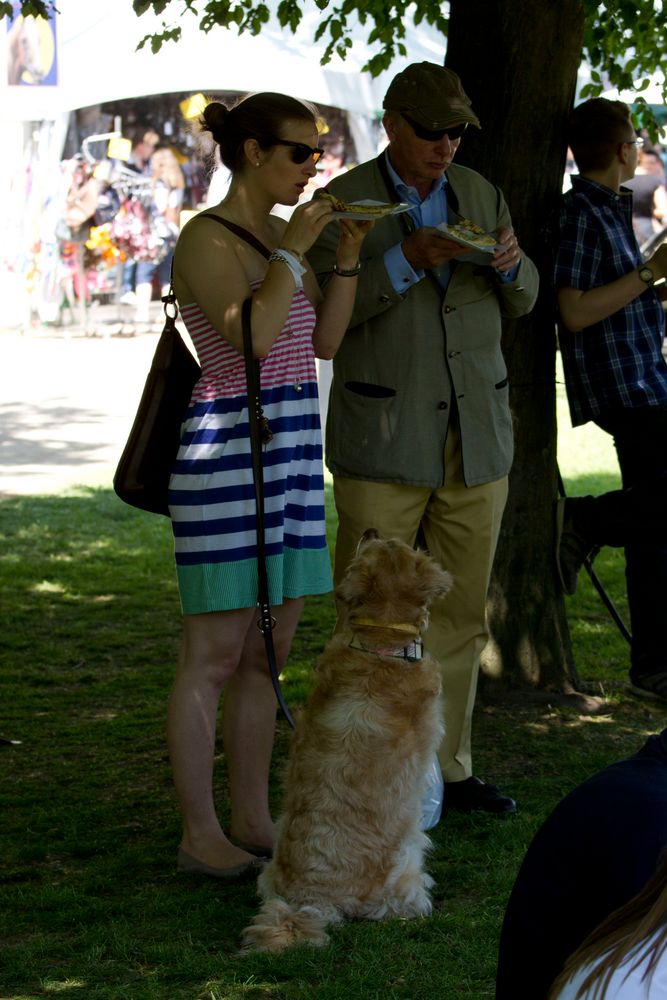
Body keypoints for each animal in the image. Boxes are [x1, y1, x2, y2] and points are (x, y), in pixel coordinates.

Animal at [241, 528, 454, 948]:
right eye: (388, 544)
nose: (371, 530)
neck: (380, 644)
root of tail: (309, 901)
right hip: (408, 859)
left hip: (271, 867)